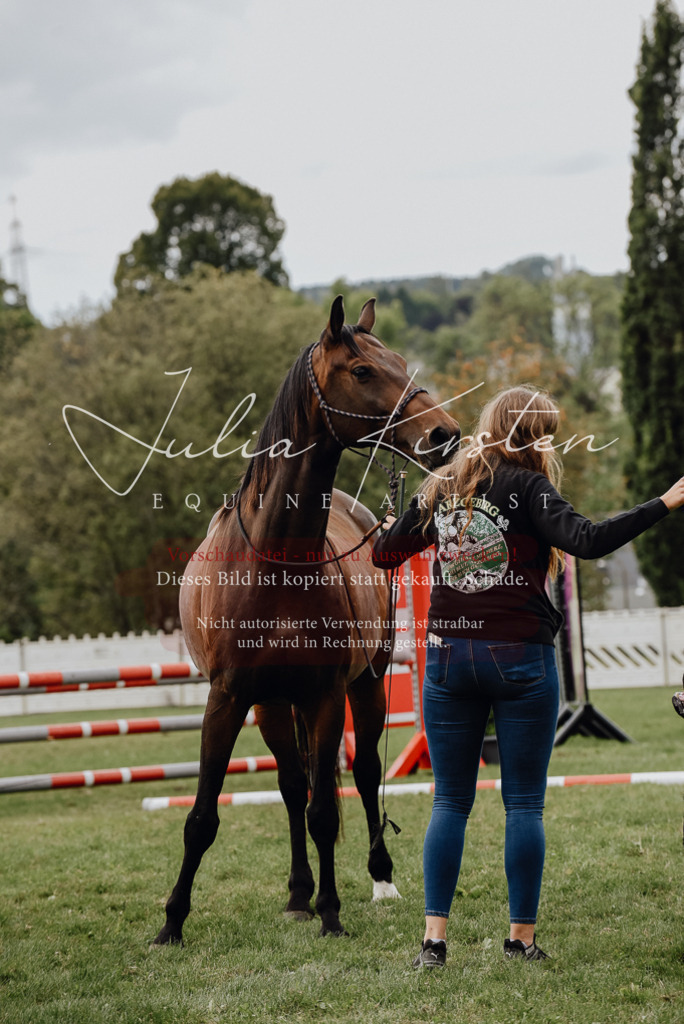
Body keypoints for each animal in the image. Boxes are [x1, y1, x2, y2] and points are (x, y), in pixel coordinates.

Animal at [153, 296, 460, 944]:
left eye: (401, 362)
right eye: (364, 371)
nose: (443, 433)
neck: (276, 563)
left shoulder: (324, 696)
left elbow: (325, 809)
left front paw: (333, 912)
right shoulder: (229, 699)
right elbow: (204, 816)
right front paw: (172, 922)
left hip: (365, 686)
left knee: (363, 774)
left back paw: (378, 878)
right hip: (273, 704)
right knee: (292, 787)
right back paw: (298, 894)